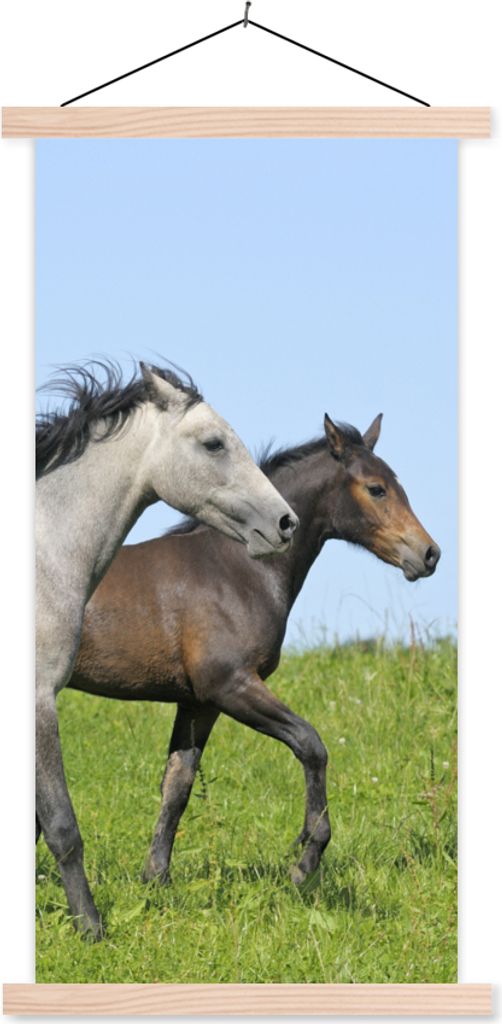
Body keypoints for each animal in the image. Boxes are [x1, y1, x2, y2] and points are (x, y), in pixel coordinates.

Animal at [68, 412, 440, 897]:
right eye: (376, 488)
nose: (428, 553)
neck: (236, 569)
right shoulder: (231, 685)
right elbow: (311, 745)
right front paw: (306, 860)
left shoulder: (199, 702)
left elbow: (178, 784)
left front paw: (157, 880)